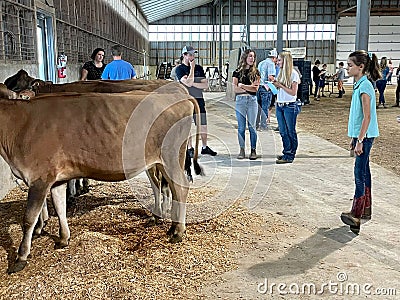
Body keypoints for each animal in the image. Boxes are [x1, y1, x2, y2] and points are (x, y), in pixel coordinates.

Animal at [0, 92, 200, 274]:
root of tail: (177, 96)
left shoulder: (40, 178)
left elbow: (29, 219)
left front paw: (21, 257)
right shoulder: (56, 179)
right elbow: (60, 207)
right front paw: (63, 239)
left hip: (170, 157)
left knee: (181, 188)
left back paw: (178, 232)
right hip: (162, 161)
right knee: (171, 188)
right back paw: (171, 226)